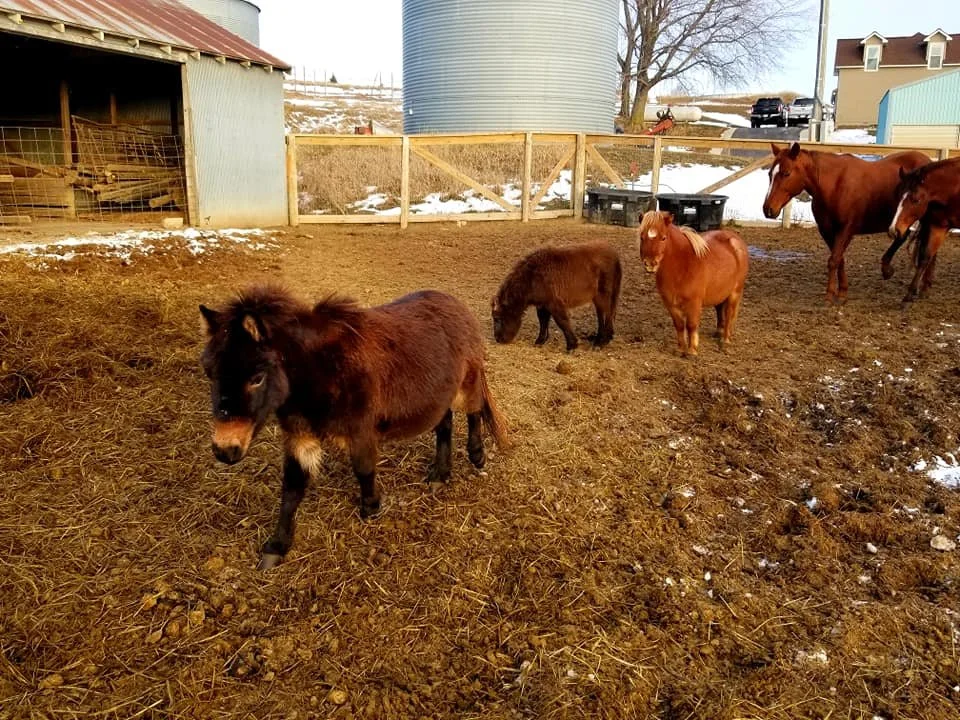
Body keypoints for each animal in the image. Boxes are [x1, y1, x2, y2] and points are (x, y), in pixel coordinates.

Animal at [199, 286, 508, 570]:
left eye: (257, 378)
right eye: (209, 373)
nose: (224, 450)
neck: (321, 371)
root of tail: (456, 303)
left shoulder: (361, 432)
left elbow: (363, 468)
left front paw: (371, 507)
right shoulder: (300, 438)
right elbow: (291, 489)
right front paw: (276, 547)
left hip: (466, 382)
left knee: (474, 412)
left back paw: (477, 456)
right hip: (437, 395)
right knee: (445, 423)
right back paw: (439, 475)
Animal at [491, 241, 622, 352]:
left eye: (497, 318)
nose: (498, 339)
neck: (532, 276)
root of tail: (615, 255)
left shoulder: (554, 304)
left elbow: (562, 322)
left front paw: (572, 346)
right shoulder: (542, 305)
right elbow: (543, 321)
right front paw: (540, 341)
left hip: (602, 296)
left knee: (607, 314)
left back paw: (601, 343)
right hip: (597, 298)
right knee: (602, 315)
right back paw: (599, 339)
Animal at [638, 211, 749, 356]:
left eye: (663, 238)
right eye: (642, 237)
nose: (650, 264)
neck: (683, 266)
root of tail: (735, 239)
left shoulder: (694, 303)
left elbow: (691, 325)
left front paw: (692, 351)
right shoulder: (671, 304)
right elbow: (679, 325)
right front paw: (680, 349)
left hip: (735, 292)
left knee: (730, 314)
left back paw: (725, 341)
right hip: (720, 292)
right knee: (720, 310)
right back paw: (719, 333)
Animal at [762, 142, 930, 303]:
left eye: (786, 173)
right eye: (770, 174)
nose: (767, 209)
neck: (834, 186)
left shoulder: (846, 230)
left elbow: (834, 260)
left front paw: (830, 295)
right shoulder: (827, 231)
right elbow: (839, 259)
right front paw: (842, 291)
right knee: (903, 236)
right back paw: (888, 269)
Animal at [889, 158, 960, 304]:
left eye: (916, 200)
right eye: (898, 195)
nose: (894, 230)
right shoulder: (938, 227)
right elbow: (925, 257)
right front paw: (909, 295)